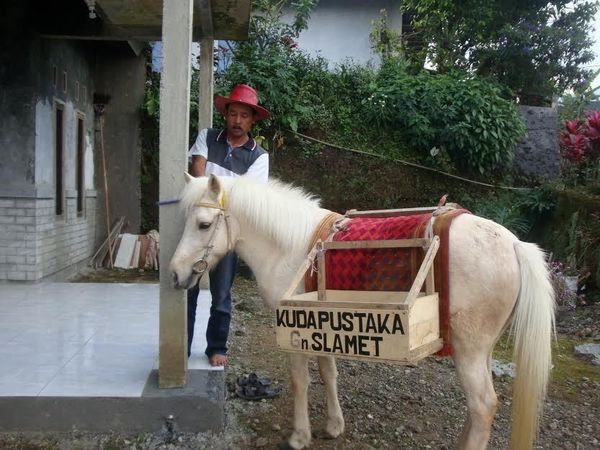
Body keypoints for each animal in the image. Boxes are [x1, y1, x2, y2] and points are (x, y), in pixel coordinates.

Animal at [169, 173, 552, 450]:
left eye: (203, 224)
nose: (175, 273)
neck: (292, 247)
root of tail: (513, 243)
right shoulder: (321, 325)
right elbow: (329, 373)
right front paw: (333, 426)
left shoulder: (293, 335)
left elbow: (300, 381)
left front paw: (299, 436)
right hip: (479, 349)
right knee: (480, 408)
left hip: (469, 351)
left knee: (483, 405)